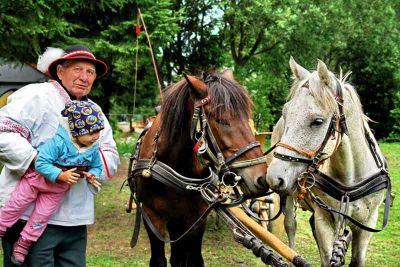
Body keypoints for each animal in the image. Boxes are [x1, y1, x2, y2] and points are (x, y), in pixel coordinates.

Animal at [131, 70, 268, 267]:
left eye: (248, 117)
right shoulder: (151, 215)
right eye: (220, 119)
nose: (261, 178)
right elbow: (159, 260)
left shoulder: (197, 217)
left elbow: (193, 259)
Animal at [266, 57, 390, 266]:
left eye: (317, 121)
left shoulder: (367, 223)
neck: (351, 179)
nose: (274, 177)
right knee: (290, 225)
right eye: (285, 113)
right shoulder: (324, 219)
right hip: (289, 195)